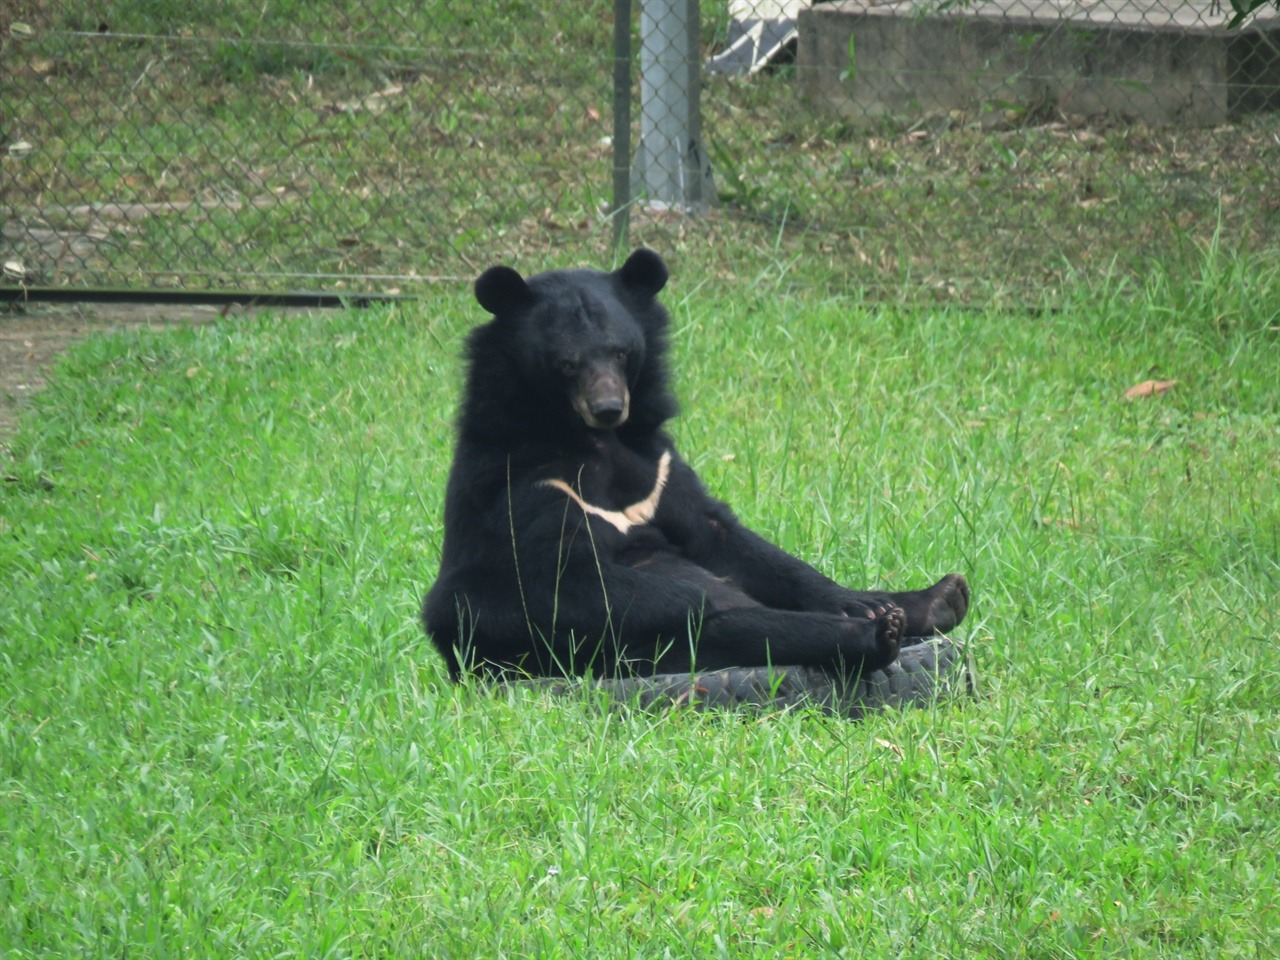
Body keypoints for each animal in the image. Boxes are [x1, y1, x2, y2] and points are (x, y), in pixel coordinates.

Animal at [422, 249, 967, 686]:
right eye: (568, 364)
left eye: (621, 353)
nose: (608, 408)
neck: (594, 442)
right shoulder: (526, 489)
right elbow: (560, 575)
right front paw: (718, 599)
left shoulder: (659, 469)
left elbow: (727, 539)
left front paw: (858, 600)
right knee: (737, 631)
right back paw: (873, 633)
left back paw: (935, 598)